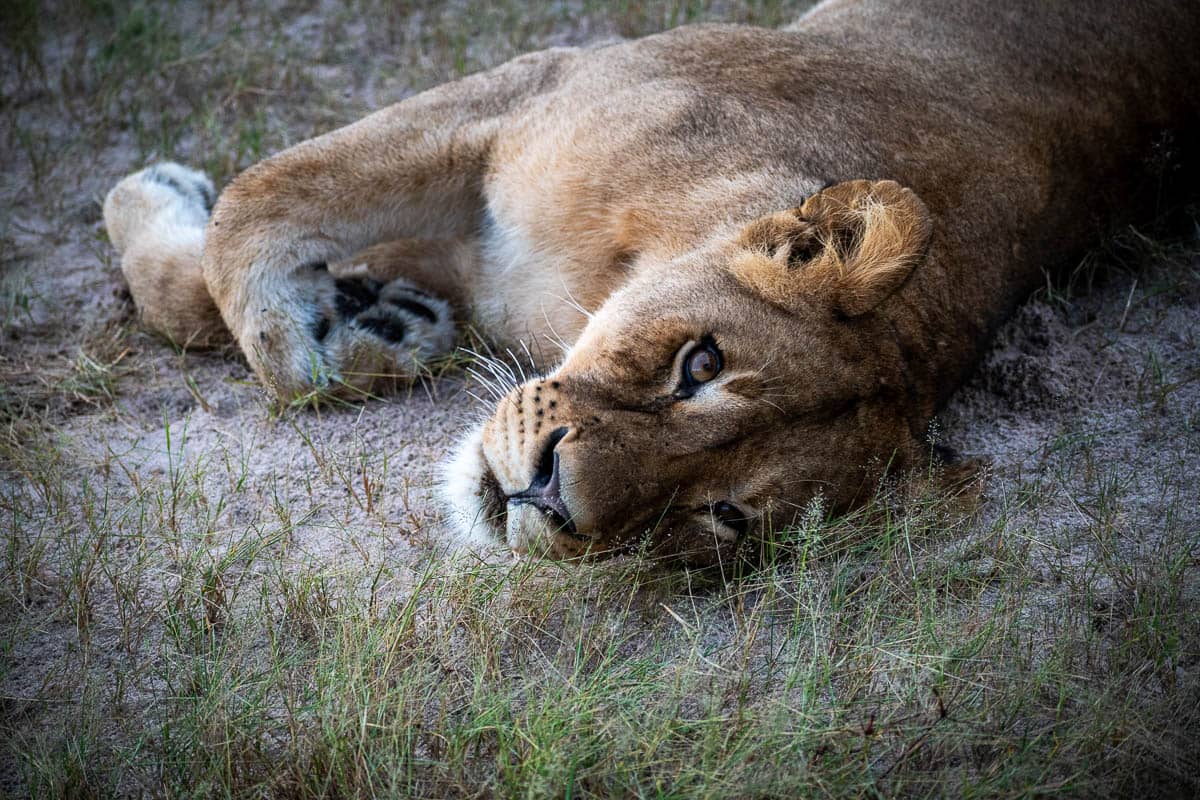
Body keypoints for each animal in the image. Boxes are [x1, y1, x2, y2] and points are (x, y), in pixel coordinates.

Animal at [103, 0, 1200, 565]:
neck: (584, 285)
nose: (547, 496)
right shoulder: (528, 94)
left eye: (722, 516)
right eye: (697, 365)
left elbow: (219, 279)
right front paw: (340, 321)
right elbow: (249, 218)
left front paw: (376, 322)